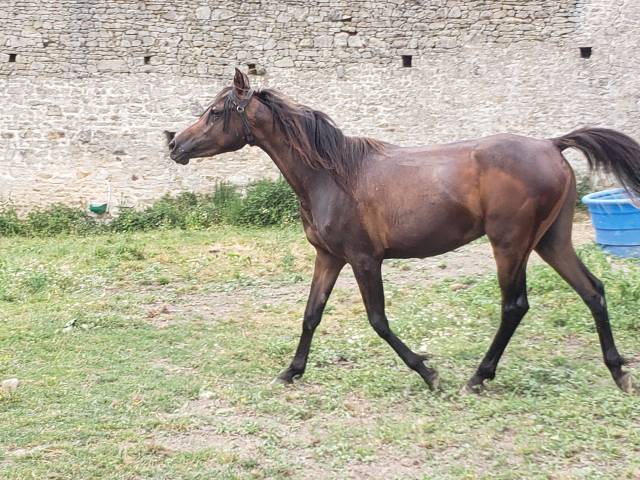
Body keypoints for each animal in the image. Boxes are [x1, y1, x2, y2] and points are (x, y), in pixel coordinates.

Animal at [169, 69, 640, 396]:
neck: (332, 175)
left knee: (515, 306)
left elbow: (378, 321)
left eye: (215, 111)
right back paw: (618, 372)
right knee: (593, 290)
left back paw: (477, 378)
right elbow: (310, 315)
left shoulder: (364, 260)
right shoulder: (329, 257)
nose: (175, 144)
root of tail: (552, 145)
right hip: (550, 241)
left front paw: (428, 372)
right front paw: (291, 371)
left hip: (510, 244)